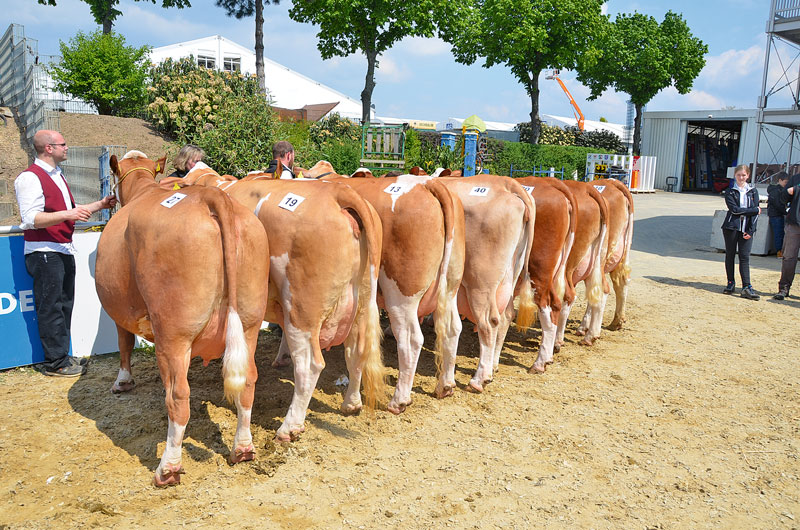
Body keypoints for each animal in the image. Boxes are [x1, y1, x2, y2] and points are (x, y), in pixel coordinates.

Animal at [95, 151, 270, 484]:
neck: (142, 188)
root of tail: (211, 197)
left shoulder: (122, 313)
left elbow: (124, 342)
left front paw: (123, 382)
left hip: (174, 332)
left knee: (178, 397)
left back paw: (168, 467)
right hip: (250, 322)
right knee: (248, 381)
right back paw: (242, 449)